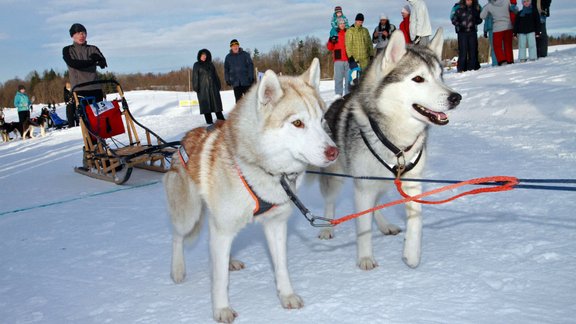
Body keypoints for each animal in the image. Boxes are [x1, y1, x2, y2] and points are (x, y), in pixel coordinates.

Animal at [163, 58, 338, 324]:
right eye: (298, 123)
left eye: (321, 121)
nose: (334, 151)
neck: (262, 170)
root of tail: (184, 140)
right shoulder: (222, 228)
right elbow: (220, 280)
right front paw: (221, 309)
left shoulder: (275, 225)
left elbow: (281, 266)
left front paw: (287, 296)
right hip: (189, 215)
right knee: (177, 237)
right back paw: (177, 270)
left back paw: (229, 262)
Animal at [320, 29, 464, 270]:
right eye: (418, 78)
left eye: (440, 76)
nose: (456, 98)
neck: (398, 144)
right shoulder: (364, 186)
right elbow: (364, 227)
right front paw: (365, 257)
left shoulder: (413, 182)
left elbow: (416, 220)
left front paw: (411, 254)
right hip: (336, 177)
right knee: (330, 201)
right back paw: (327, 228)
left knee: (376, 205)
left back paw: (385, 225)